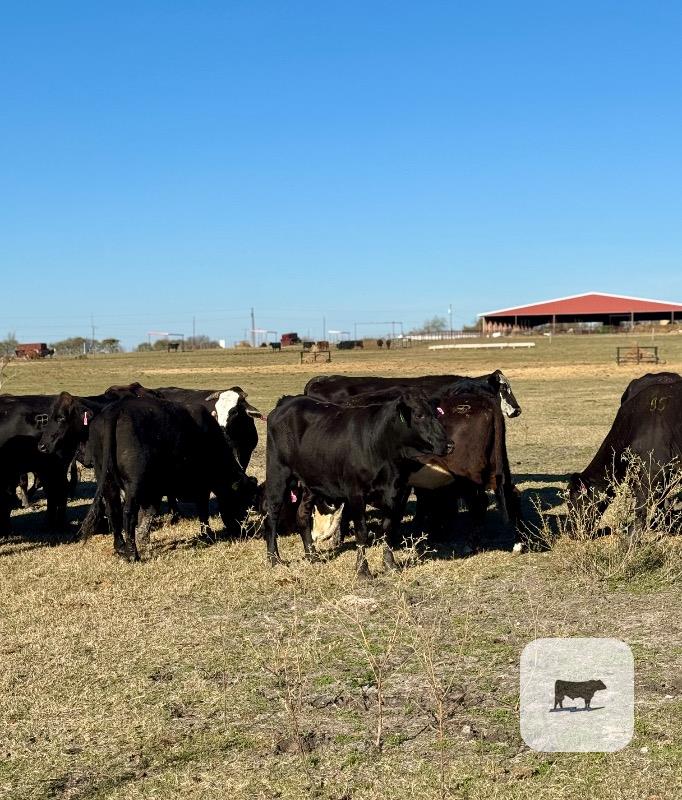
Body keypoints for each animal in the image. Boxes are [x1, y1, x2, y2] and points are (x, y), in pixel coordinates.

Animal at [79, 397, 257, 560]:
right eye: (241, 503)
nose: (243, 531)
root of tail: (115, 409)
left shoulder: (154, 491)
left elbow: (148, 514)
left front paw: (144, 539)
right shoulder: (202, 486)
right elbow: (202, 511)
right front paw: (207, 535)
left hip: (107, 481)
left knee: (113, 511)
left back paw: (121, 548)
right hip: (133, 486)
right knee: (128, 513)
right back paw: (133, 554)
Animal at [263, 390, 451, 576]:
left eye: (436, 414)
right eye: (419, 415)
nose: (449, 444)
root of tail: (287, 402)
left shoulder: (396, 493)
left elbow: (388, 528)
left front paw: (390, 565)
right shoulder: (356, 493)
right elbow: (362, 532)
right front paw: (362, 570)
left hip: (311, 481)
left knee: (302, 515)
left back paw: (313, 556)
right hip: (277, 474)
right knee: (271, 515)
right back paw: (274, 559)